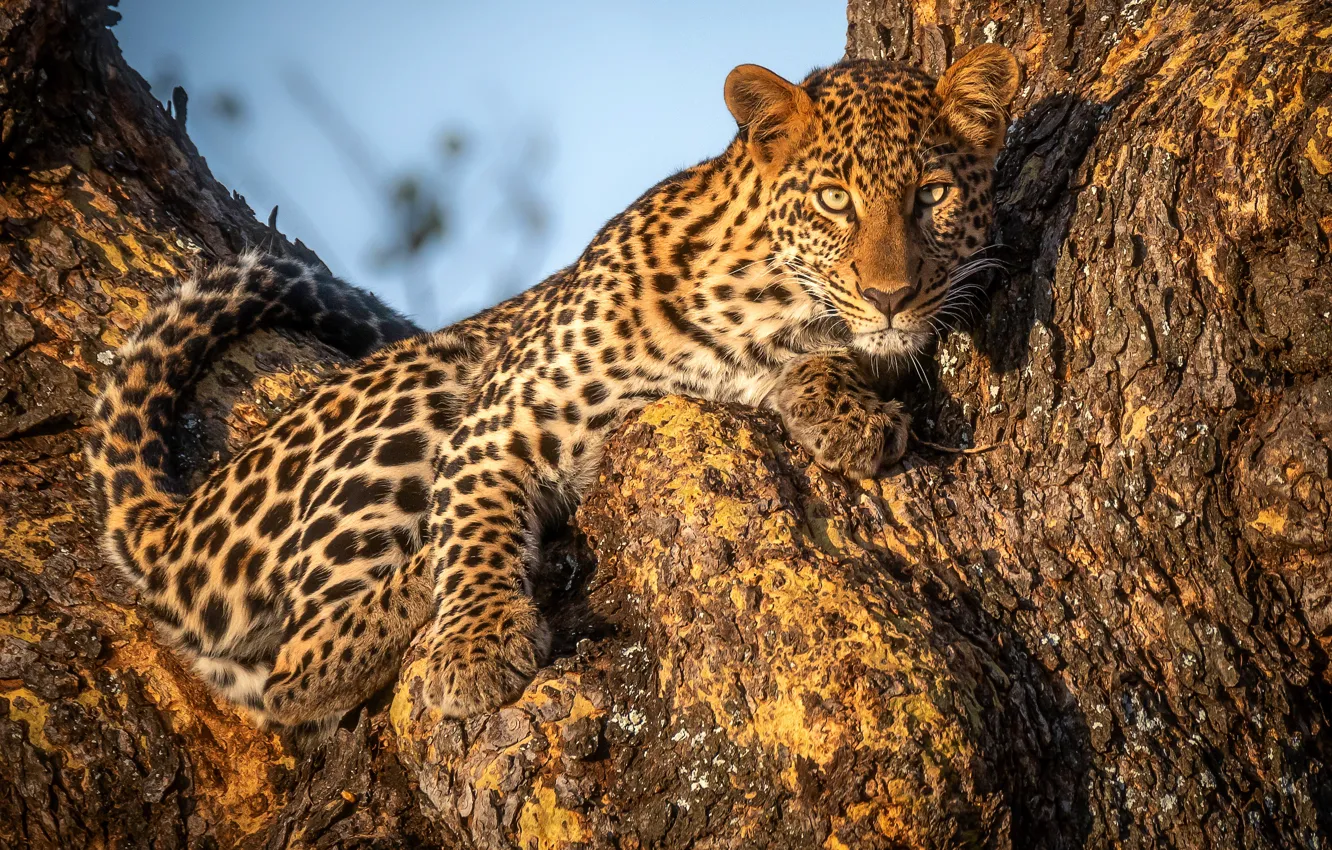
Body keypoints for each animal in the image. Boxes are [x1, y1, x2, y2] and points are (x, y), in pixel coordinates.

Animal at [87, 46, 1019, 740]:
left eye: (932, 196)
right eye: (834, 199)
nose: (891, 294)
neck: (765, 303)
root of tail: (175, 523)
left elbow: (839, 356)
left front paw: (845, 410)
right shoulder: (497, 426)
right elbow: (475, 532)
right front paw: (474, 646)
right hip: (420, 395)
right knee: (296, 669)